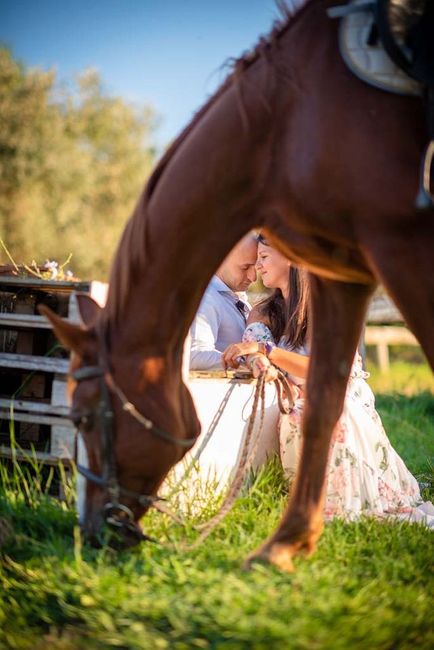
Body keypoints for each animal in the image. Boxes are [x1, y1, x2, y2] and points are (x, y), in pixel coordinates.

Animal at [40, 0, 434, 568]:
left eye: (85, 418)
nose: (92, 532)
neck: (286, 115)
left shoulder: (400, 243)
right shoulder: (340, 269)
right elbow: (323, 399)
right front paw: (285, 546)